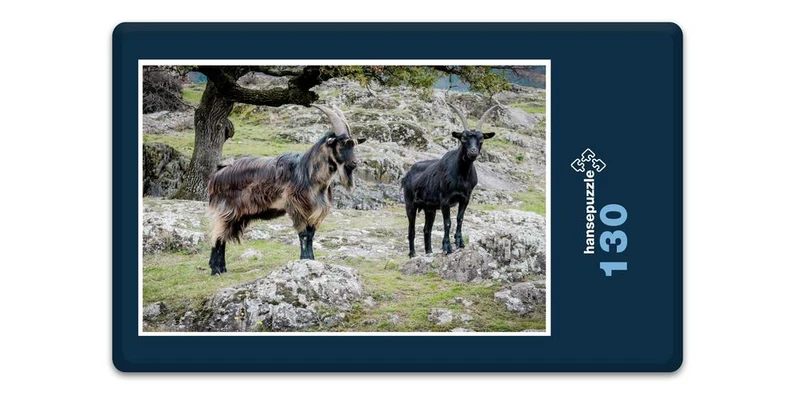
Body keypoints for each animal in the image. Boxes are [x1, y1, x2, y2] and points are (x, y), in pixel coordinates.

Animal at [206, 105, 365, 275]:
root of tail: (216, 175)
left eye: (353, 144)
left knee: (222, 236)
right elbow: (303, 235)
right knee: (217, 236)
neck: (308, 172)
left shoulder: (314, 212)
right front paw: (304, 260)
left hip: (237, 215)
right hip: (226, 211)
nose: (354, 163)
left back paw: (221, 268)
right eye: (341, 144)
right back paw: (216, 269)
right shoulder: (297, 208)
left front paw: (311, 260)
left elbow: (311, 235)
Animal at [401, 103, 498, 257]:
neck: (461, 175)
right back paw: (412, 254)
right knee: (411, 229)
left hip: (430, 208)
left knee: (427, 229)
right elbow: (447, 222)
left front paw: (460, 243)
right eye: (463, 138)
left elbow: (459, 218)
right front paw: (447, 247)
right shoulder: (445, 200)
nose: (473, 152)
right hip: (410, 203)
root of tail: (407, 175)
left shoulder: (465, 198)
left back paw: (429, 252)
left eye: (481, 139)